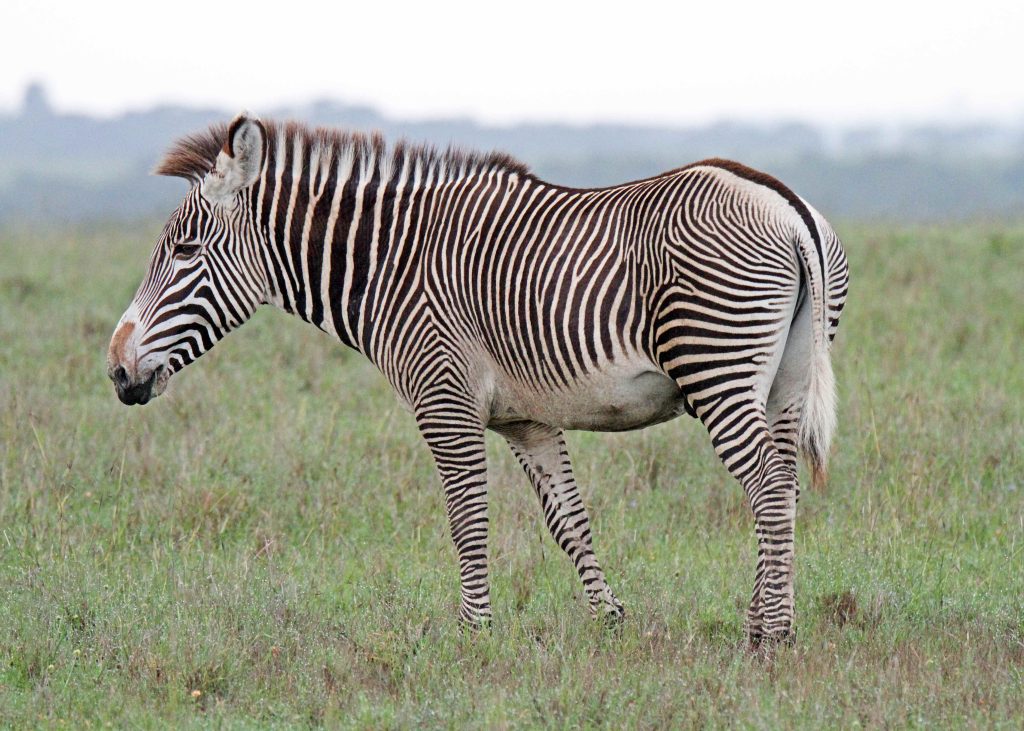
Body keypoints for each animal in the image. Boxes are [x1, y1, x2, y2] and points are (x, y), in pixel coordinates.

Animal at [110, 112, 847, 642]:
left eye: (185, 251)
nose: (116, 370)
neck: (392, 266)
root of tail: (785, 204)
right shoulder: (527, 419)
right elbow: (569, 521)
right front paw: (608, 619)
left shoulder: (444, 401)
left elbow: (466, 515)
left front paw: (473, 632)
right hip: (784, 382)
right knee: (781, 484)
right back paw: (760, 615)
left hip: (716, 367)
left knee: (768, 486)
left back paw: (773, 634)